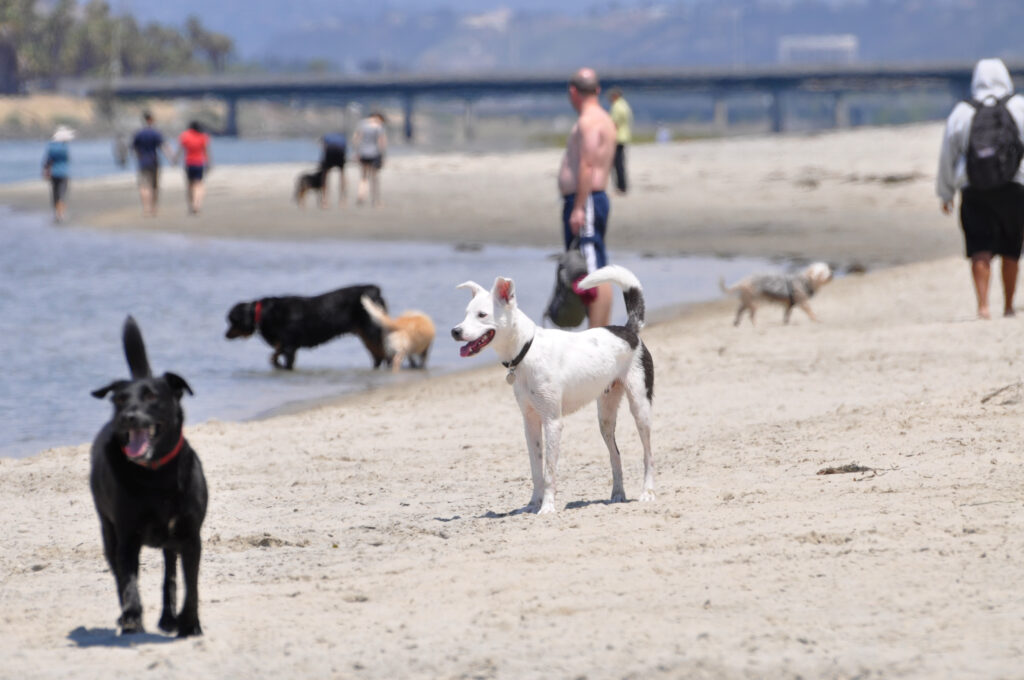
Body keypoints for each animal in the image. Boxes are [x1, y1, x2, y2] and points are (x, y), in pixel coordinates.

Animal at [92, 317, 209, 639]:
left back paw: (169, 618)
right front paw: (132, 616)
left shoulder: (190, 536)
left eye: (151, 396)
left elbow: (191, 586)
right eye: (120, 399)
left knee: (170, 573)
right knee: (119, 572)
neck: (155, 474)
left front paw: (190, 624)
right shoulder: (127, 536)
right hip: (108, 530)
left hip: (171, 541)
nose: (127, 416)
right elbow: (128, 581)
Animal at [226, 282, 389, 368]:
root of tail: (375, 291)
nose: (225, 335)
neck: (264, 313)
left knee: (384, 354)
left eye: (232, 321)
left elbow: (282, 359)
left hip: (372, 332)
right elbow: (273, 356)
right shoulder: (285, 345)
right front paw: (276, 363)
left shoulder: (289, 347)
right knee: (378, 356)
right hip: (366, 335)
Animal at [450, 266, 655, 516]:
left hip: (640, 408)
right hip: (605, 418)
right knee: (615, 455)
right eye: (466, 314)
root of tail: (629, 330)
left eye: (482, 315)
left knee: (648, 455)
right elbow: (536, 470)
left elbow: (549, 471)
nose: (455, 331)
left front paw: (547, 506)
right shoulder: (530, 423)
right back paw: (617, 494)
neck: (527, 350)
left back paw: (647, 492)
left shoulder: (552, 422)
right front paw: (532, 504)